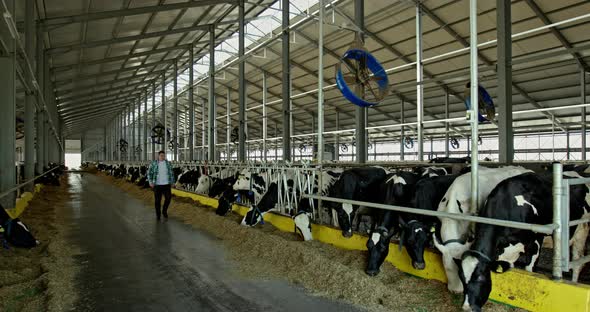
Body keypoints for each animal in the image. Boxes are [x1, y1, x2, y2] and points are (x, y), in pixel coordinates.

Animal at [458, 172, 590, 312]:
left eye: (481, 277)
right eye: (461, 278)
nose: (466, 307)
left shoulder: (536, 242)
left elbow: (530, 272)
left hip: (581, 230)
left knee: (577, 260)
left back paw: (575, 282)